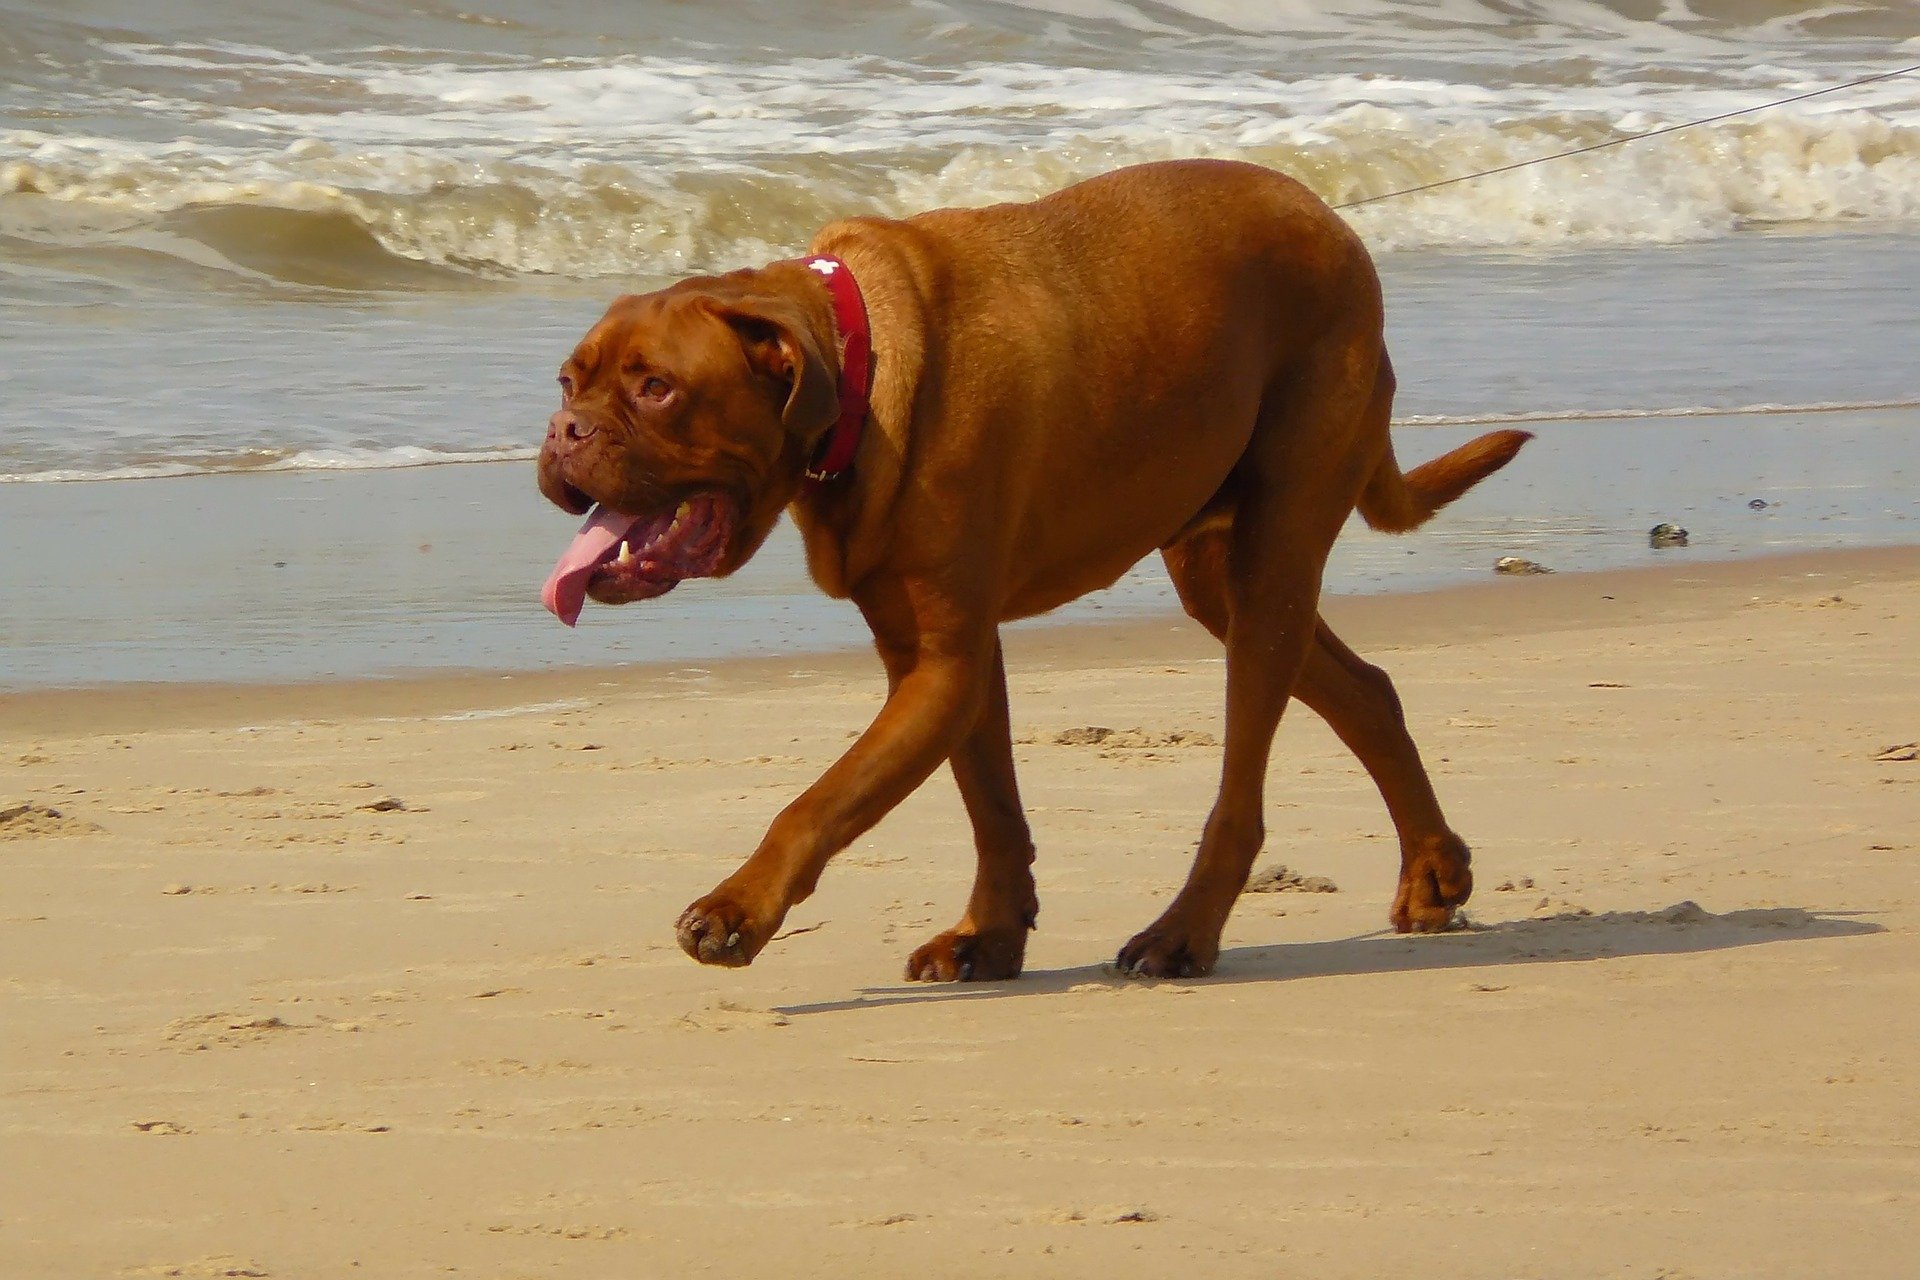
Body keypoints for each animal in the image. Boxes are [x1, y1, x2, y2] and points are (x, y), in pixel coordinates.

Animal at [537, 160, 1528, 982]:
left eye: (657, 388)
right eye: (567, 382)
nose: (563, 431)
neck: (853, 368)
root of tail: (1335, 224)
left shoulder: (944, 664)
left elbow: (821, 802)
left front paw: (737, 909)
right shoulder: (940, 660)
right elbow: (992, 809)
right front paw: (991, 934)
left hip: (1275, 556)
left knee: (1241, 791)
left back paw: (1183, 934)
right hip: (1220, 572)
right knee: (1366, 692)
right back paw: (1433, 871)